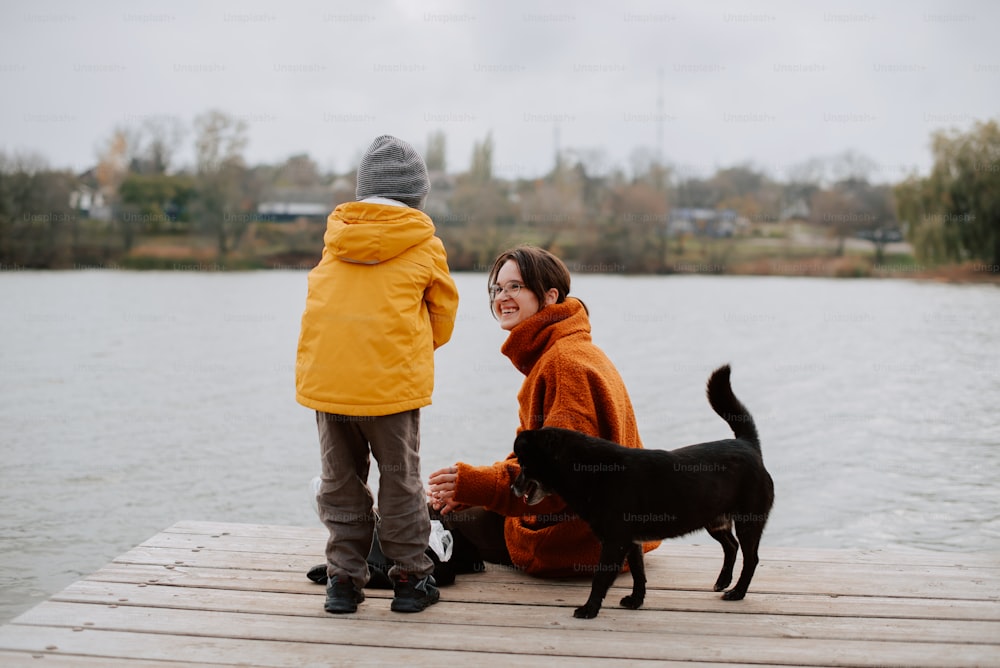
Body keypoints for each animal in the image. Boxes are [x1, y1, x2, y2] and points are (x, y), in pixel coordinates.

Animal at [512, 366, 768, 616]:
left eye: (524, 465)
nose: (513, 487)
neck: (591, 470)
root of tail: (747, 444)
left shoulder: (615, 542)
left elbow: (601, 578)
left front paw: (589, 609)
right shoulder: (632, 542)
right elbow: (638, 573)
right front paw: (636, 600)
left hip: (748, 522)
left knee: (751, 559)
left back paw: (737, 592)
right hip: (714, 520)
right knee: (731, 546)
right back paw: (723, 582)